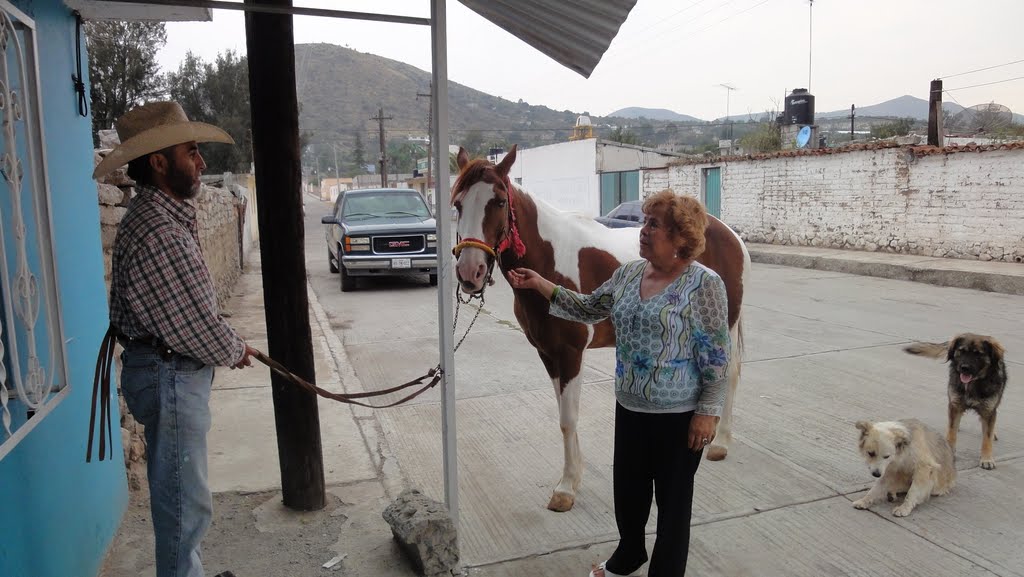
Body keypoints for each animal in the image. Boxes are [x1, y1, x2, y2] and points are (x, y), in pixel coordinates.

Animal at [452, 146, 749, 512]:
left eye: (497, 202)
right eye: (457, 204)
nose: (470, 272)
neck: (550, 258)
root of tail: (729, 233)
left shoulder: (570, 355)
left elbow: (568, 419)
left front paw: (566, 488)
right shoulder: (549, 355)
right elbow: (564, 417)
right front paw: (574, 476)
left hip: (725, 324)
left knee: (729, 375)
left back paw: (720, 443)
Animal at [905, 334, 1007, 469]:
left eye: (978, 354)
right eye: (961, 351)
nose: (964, 368)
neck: (973, 384)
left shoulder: (988, 410)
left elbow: (987, 437)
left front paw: (987, 458)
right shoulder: (955, 405)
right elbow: (952, 431)